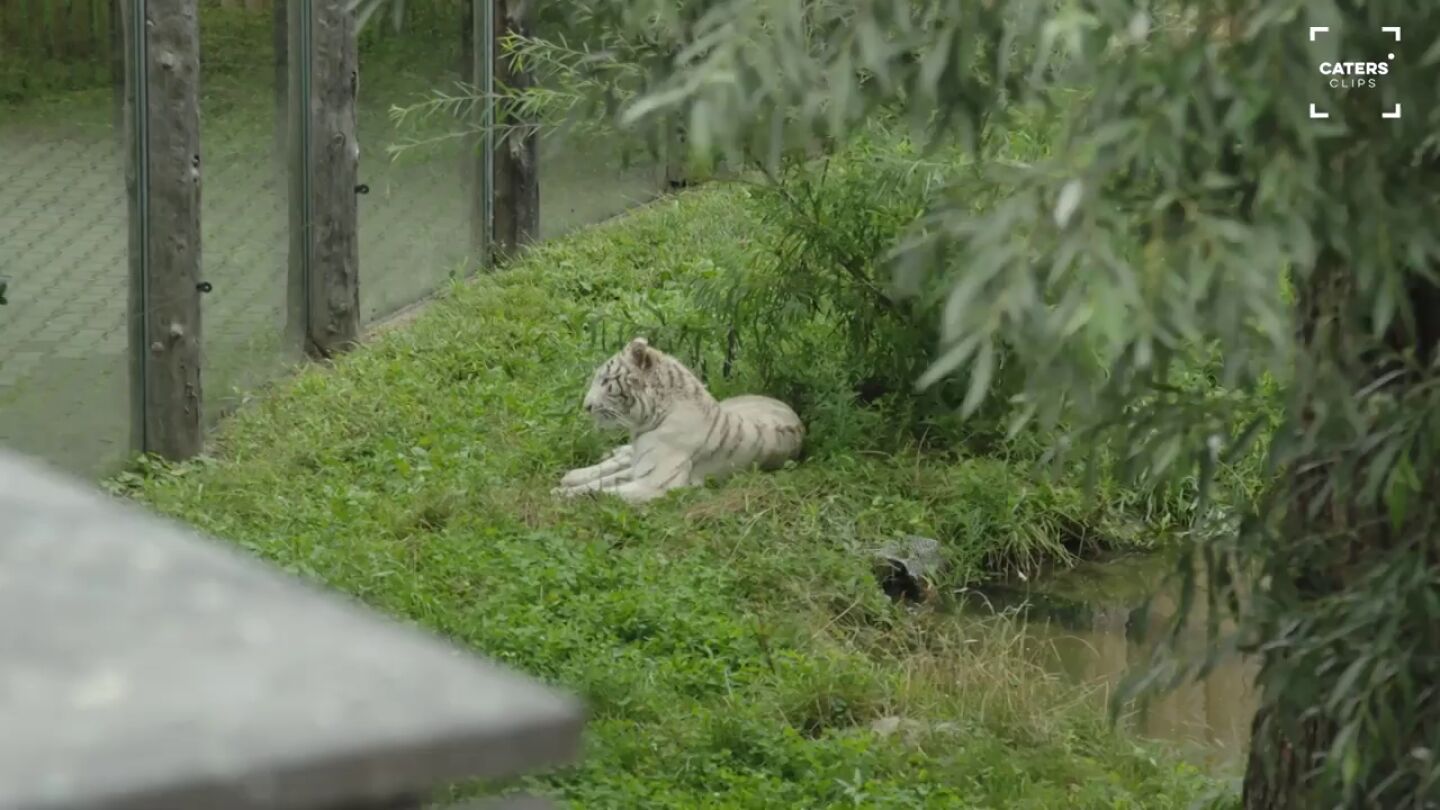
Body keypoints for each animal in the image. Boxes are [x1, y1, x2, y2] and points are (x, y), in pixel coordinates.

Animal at [552, 336, 805, 504]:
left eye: (606, 381)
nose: (586, 407)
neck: (650, 418)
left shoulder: (655, 483)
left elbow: (603, 490)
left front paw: (561, 494)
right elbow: (603, 481)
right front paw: (567, 485)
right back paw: (576, 473)